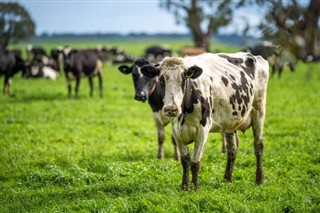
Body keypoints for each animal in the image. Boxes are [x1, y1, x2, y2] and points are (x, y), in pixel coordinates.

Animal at [141, 52, 268, 191]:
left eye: (184, 79)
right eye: (161, 79)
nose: (171, 109)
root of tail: (251, 55)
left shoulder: (202, 130)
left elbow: (195, 162)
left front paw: (195, 188)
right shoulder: (176, 131)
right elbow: (185, 161)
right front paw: (184, 186)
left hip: (259, 111)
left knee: (258, 146)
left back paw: (259, 179)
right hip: (230, 123)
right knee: (232, 149)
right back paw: (227, 178)